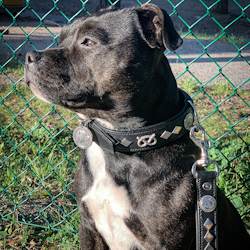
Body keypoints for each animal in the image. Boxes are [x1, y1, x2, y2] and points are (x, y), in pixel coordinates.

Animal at [23, 3, 250, 250]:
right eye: (61, 39)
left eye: (89, 42)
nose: (29, 55)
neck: (123, 142)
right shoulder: (89, 227)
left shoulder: (164, 242)